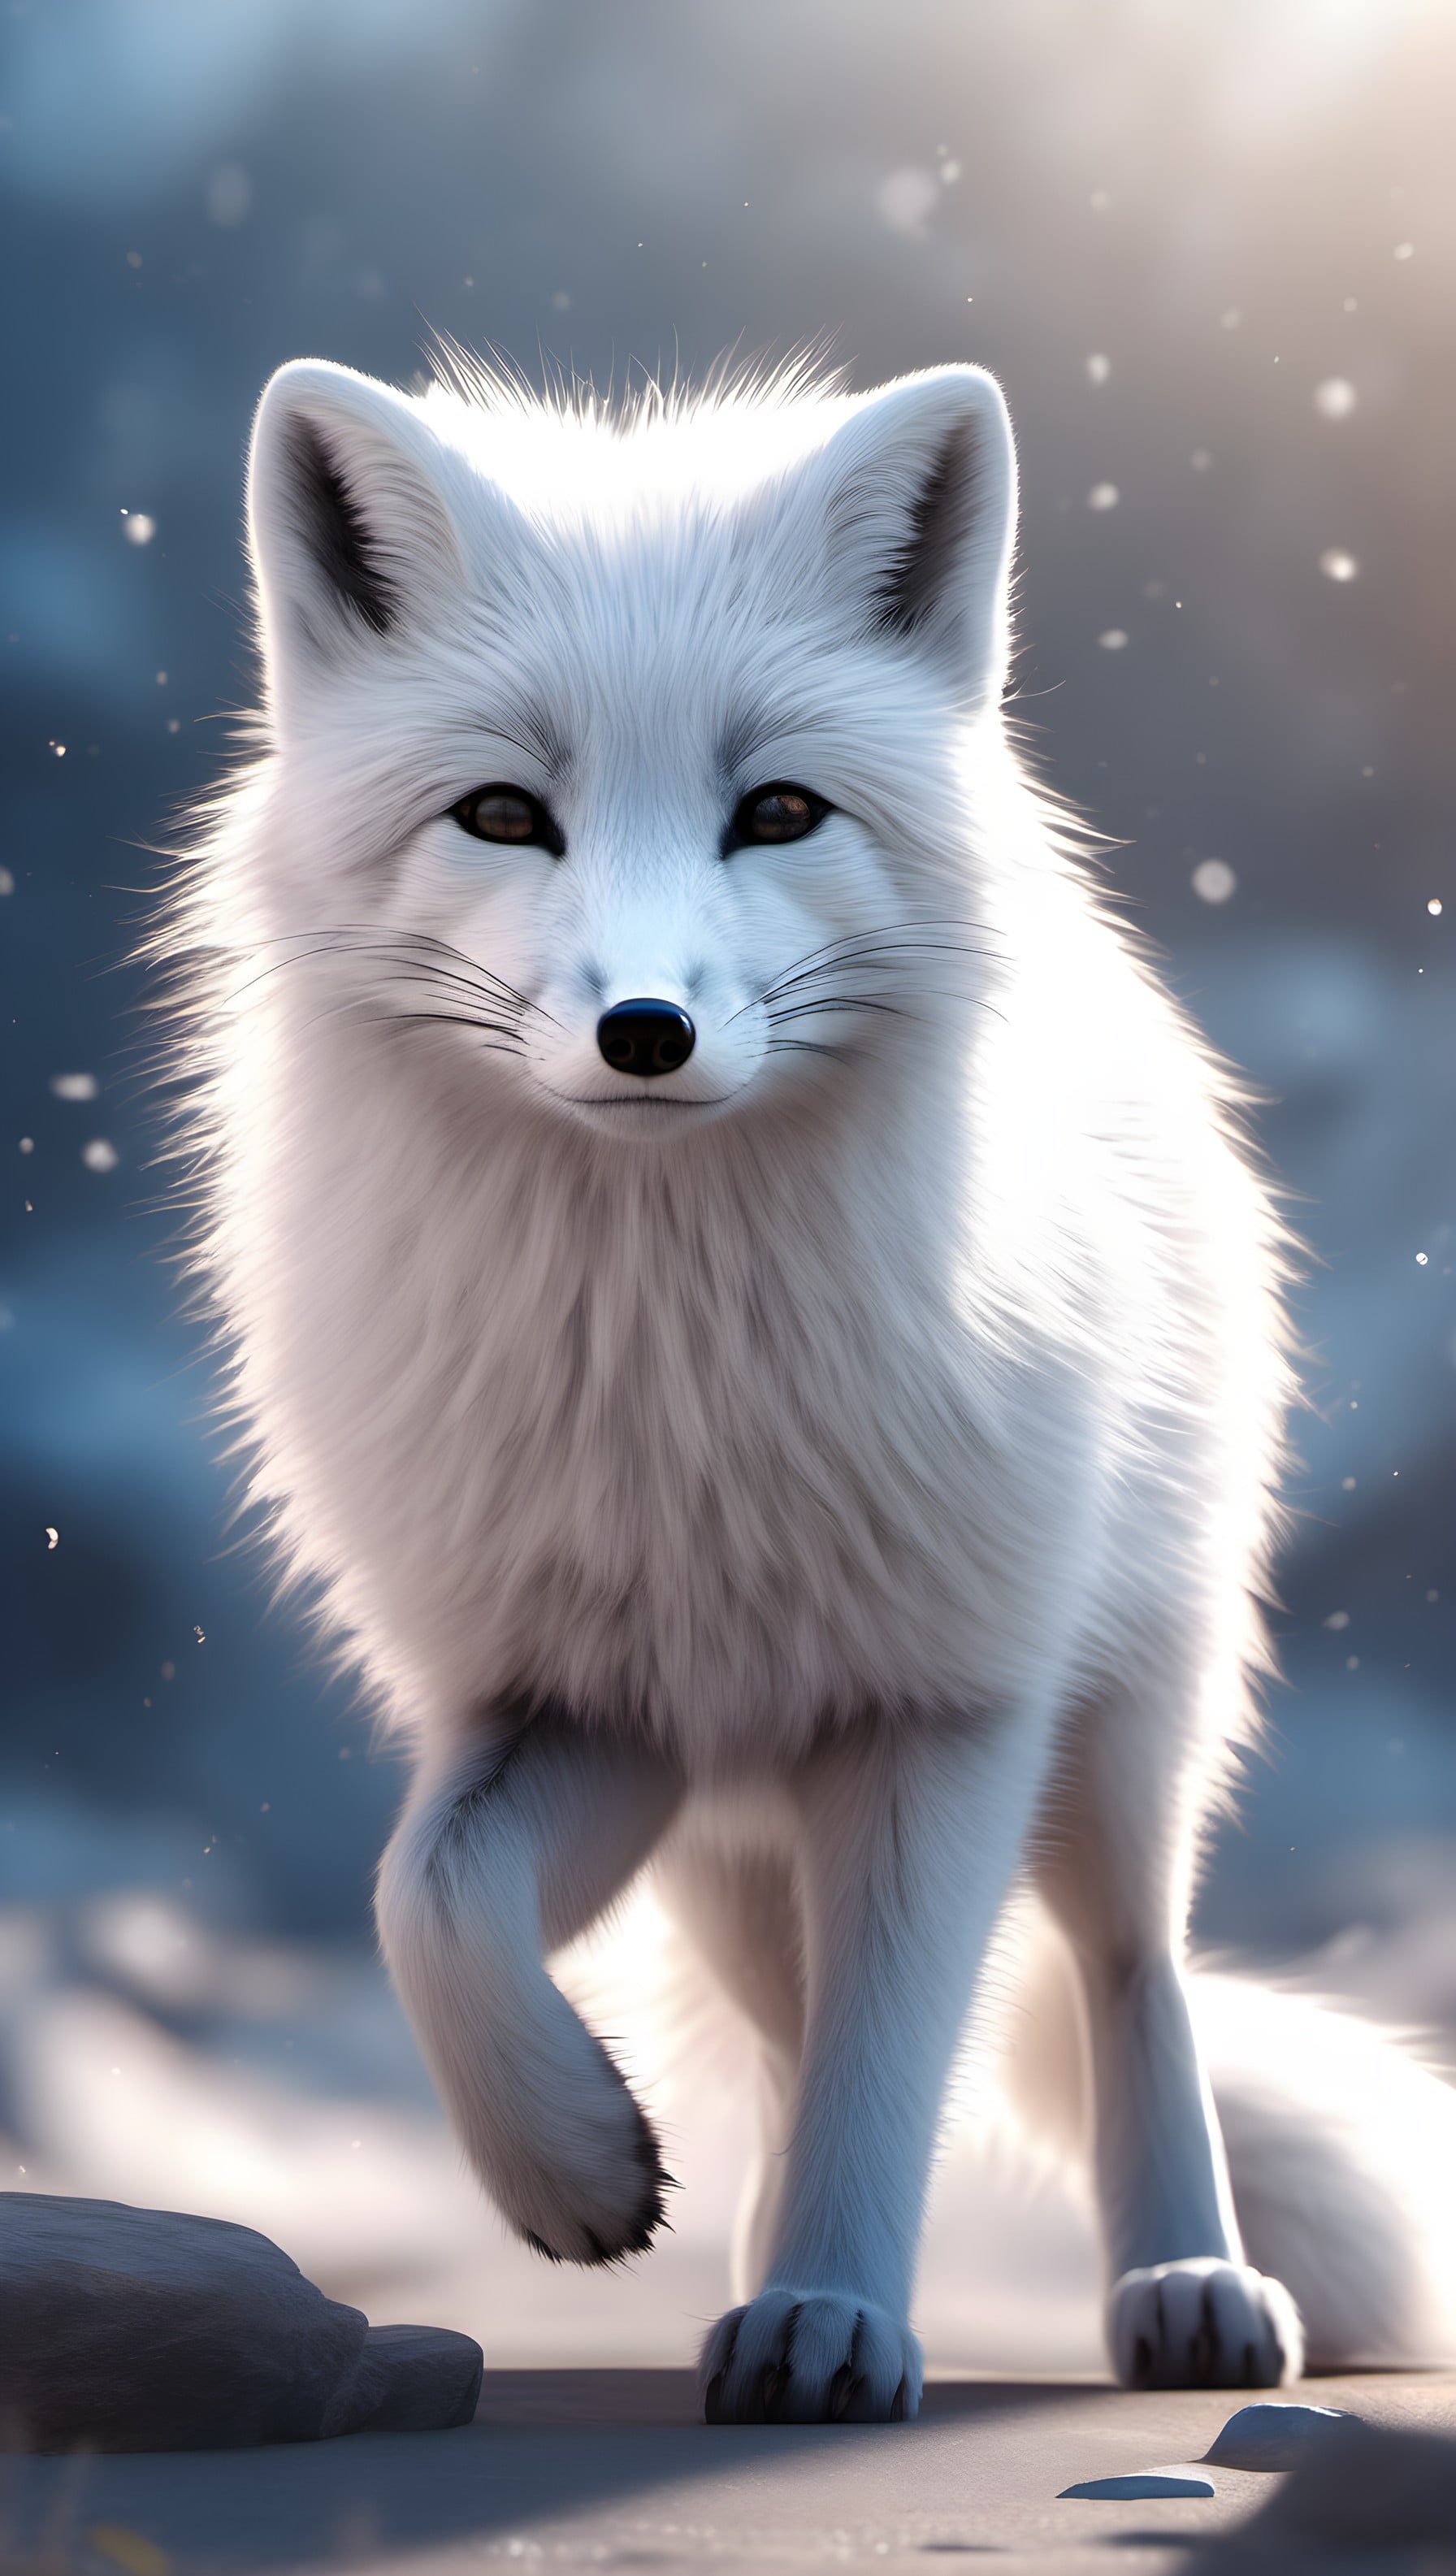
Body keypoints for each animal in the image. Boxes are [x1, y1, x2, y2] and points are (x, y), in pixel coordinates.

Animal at [164, 350, 1456, 2422]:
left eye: (776, 809)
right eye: (501, 812)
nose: (644, 1029)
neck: (673, 1382)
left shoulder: (939, 1716)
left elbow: (890, 2065)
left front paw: (837, 2311)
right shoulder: (590, 1703)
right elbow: (425, 1897)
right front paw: (573, 2164)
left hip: (1119, 1728)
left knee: (1128, 1971)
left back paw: (1183, 2280)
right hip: (727, 1840)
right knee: (780, 2034)